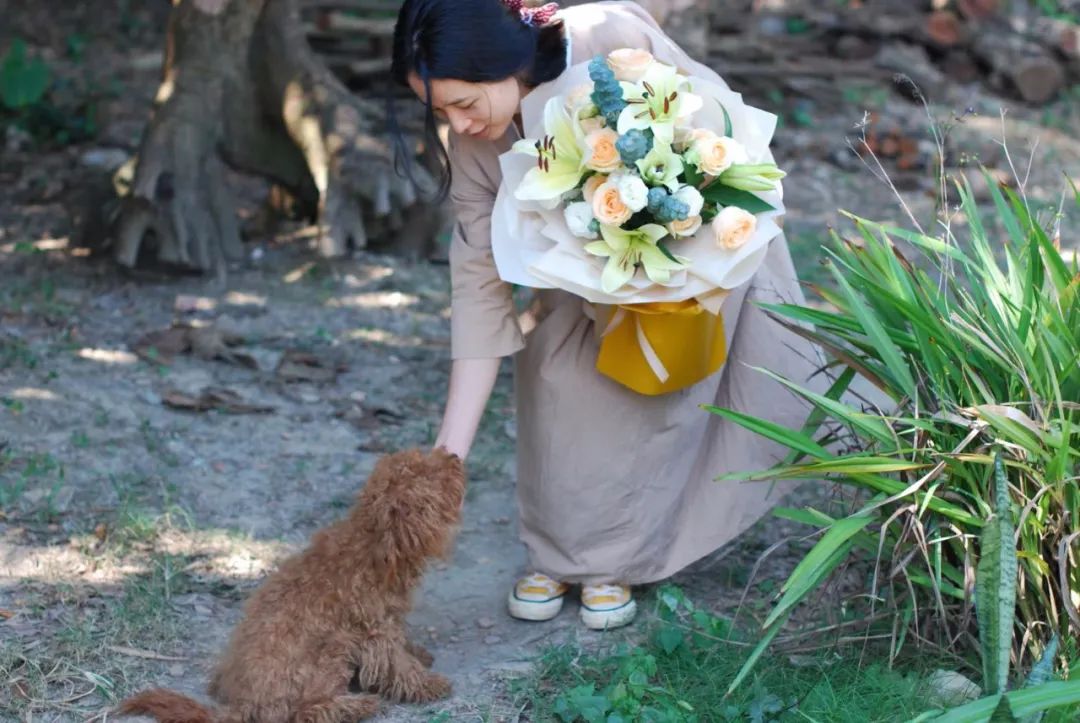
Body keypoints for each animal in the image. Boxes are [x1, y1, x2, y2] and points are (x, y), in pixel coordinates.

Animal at [116, 445, 466, 721]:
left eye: (424, 456)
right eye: (433, 476)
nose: (453, 455)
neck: (372, 546)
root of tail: (243, 705)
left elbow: (405, 651)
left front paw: (420, 654)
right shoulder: (376, 631)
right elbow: (400, 666)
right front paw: (431, 685)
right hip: (331, 653)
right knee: (303, 712)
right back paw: (356, 706)